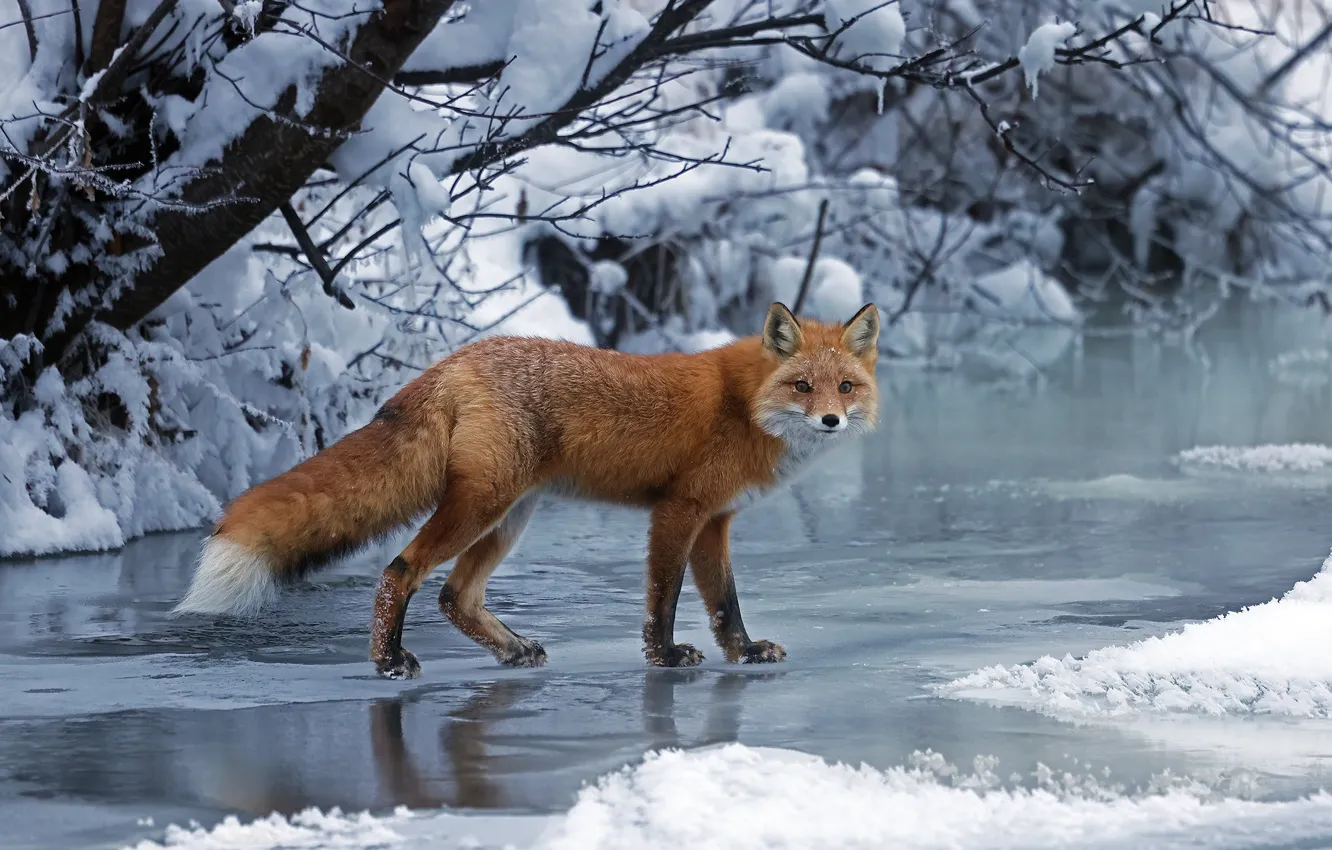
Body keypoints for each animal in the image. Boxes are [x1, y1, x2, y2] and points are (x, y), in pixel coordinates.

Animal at [173, 301, 880, 678]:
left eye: (845, 387)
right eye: (802, 387)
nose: (831, 420)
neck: (744, 404)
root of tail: (455, 360)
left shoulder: (715, 520)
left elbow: (724, 604)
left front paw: (744, 652)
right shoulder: (678, 512)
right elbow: (665, 599)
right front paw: (662, 657)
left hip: (510, 517)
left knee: (455, 597)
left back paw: (512, 650)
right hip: (481, 506)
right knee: (401, 572)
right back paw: (389, 661)